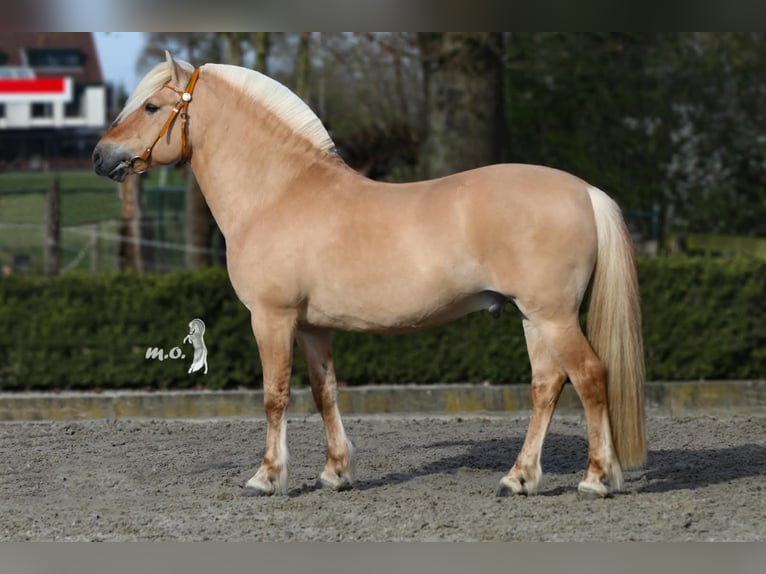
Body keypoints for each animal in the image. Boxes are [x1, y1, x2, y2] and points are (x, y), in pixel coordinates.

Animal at [93, 51, 646, 499]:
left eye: (150, 107)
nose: (99, 156)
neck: (277, 192)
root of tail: (584, 191)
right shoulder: (311, 327)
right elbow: (325, 392)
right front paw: (335, 473)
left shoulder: (271, 319)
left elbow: (274, 396)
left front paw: (267, 477)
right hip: (533, 317)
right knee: (547, 385)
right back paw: (519, 479)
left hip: (552, 316)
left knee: (590, 376)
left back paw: (596, 479)